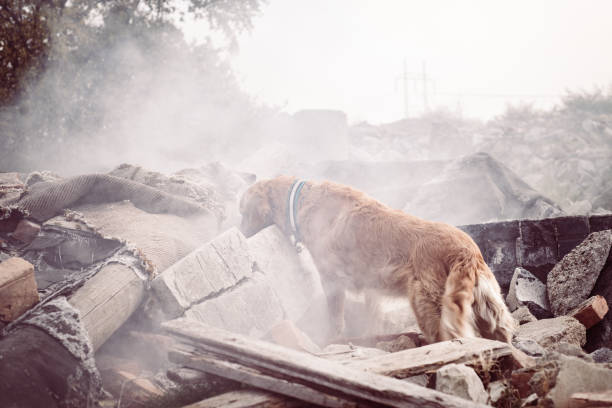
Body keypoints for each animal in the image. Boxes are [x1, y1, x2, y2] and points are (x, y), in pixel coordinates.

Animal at [239, 176, 516, 344]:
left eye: (242, 212)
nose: (240, 233)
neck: (300, 199)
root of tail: (466, 250)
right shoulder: (372, 288)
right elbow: (371, 318)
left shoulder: (331, 281)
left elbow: (335, 319)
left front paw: (331, 339)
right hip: (489, 305)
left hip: (427, 305)